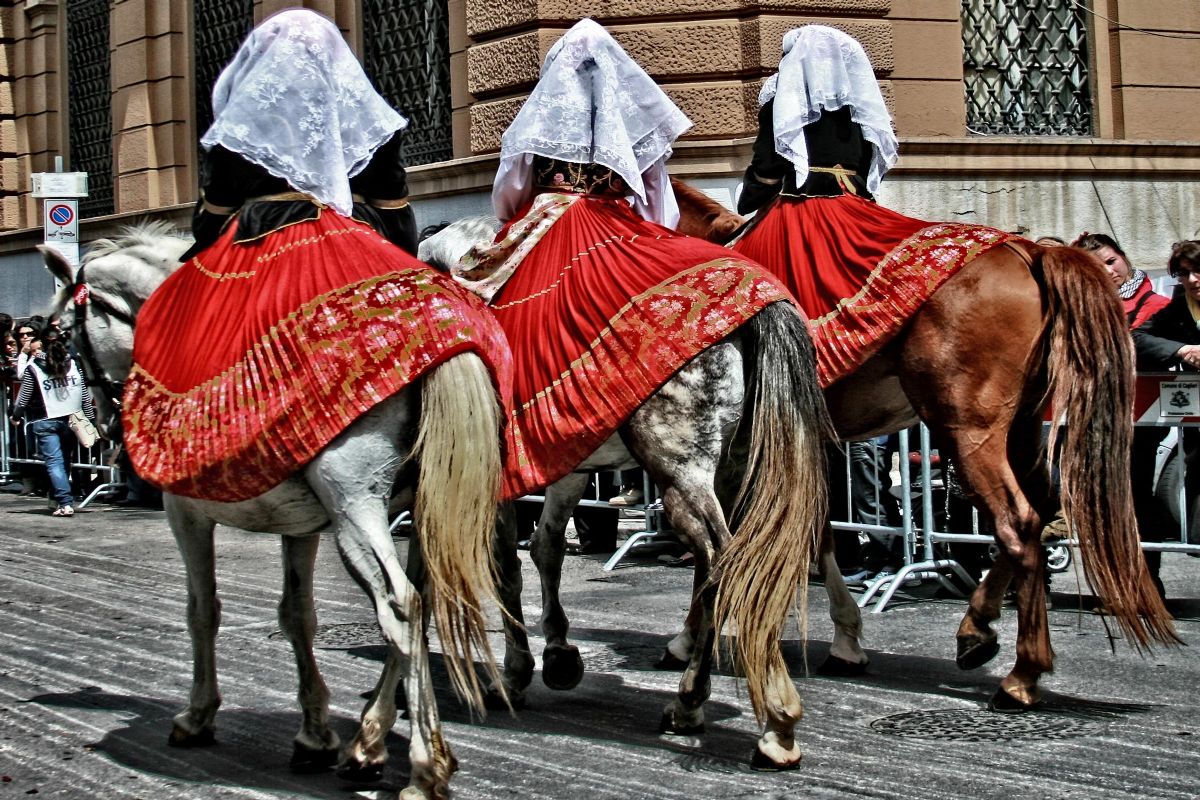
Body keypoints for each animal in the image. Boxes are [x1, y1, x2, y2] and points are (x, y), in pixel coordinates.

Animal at [44, 225, 506, 800]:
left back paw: (425, 768)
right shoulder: (300, 525)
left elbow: (203, 610)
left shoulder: (185, 513)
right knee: (420, 610)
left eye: (64, 337)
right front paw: (314, 734)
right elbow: (298, 616)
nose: (104, 425)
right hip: (426, 513)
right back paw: (369, 744)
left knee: (400, 606)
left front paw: (198, 715)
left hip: (357, 508)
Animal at [420, 219, 835, 767]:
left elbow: (506, 564)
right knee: (725, 564)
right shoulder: (568, 464)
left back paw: (752, 717)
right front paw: (559, 655)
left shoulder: (498, 475)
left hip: (680, 470)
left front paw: (515, 671)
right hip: (733, 469)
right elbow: (546, 547)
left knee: (723, 560)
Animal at [676, 183, 1180, 714]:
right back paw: (977, 631)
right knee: (1040, 514)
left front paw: (690, 639)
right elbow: (819, 530)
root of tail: (1032, 252)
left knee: (1016, 522)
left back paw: (1020, 677)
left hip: (969, 429)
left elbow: (724, 542)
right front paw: (846, 640)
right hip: (1021, 427)